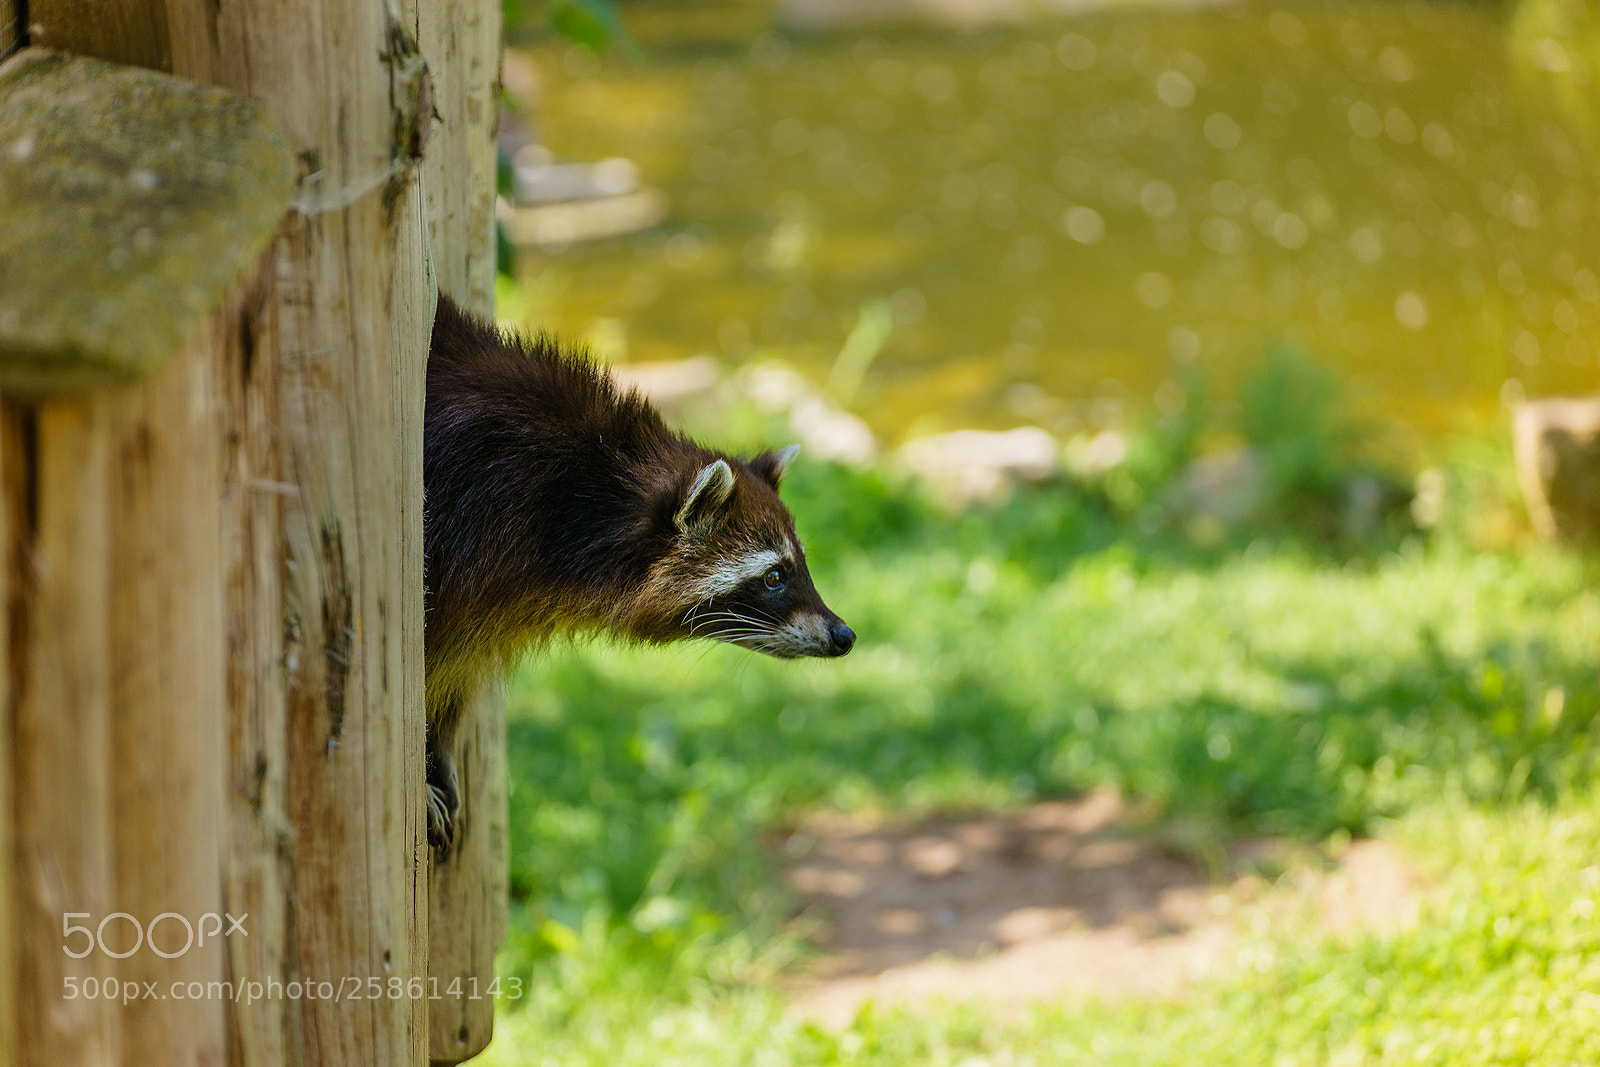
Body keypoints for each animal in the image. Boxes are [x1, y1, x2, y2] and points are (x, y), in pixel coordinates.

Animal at [424, 295, 854, 854]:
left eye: (797, 565)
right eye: (775, 577)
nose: (844, 635)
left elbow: (458, 672)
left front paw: (440, 746)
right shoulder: (466, 524)